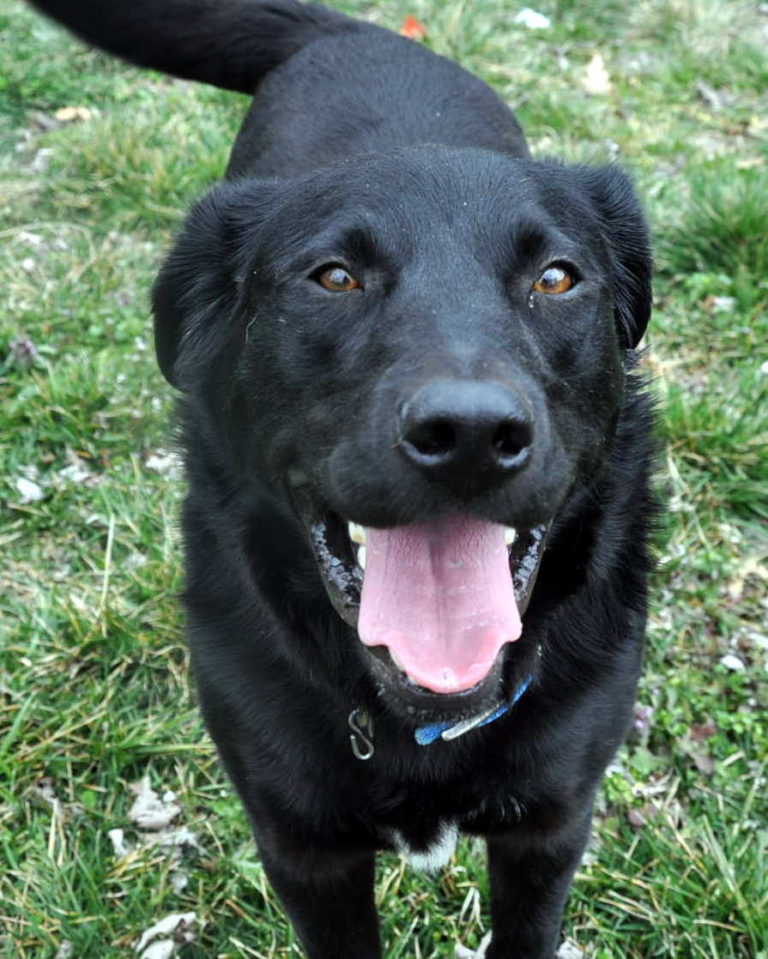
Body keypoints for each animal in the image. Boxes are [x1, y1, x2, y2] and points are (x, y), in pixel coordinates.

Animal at [30, 3, 656, 956]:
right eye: (333, 276)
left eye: (556, 278)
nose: (470, 435)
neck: (420, 717)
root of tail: (355, 32)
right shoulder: (303, 848)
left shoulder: (550, 828)